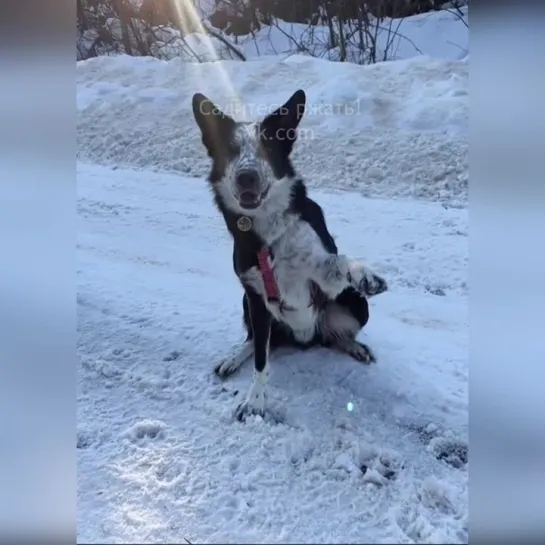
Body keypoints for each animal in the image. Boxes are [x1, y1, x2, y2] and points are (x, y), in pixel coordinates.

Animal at [191, 88, 386, 420]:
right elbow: (260, 360)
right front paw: (255, 400)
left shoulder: (323, 280)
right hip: (245, 302)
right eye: (231, 149)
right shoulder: (255, 296)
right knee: (256, 341)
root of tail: (306, 338)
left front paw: (364, 273)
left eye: (268, 147)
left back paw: (354, 346)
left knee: (338, 336)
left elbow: (338, 262)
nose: (247, 177)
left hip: (357, 304)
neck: (270, 237)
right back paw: (233, 358)